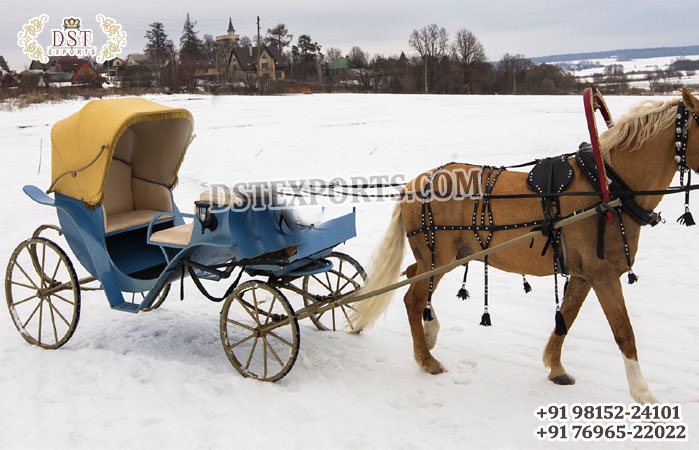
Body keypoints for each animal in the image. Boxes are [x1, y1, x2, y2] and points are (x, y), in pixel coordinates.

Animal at [352, 86, 699, 402]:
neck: (609, 188)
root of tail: (413, 184)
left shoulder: (584, 274)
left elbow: (566, 318)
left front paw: (555, 366)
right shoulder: (603, 275)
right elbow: (624, 332)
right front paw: (644, 393)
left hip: (443, 257)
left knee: (413, 276)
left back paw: (431, 330)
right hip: (439, 257)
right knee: (412, 298)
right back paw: (427, 360)